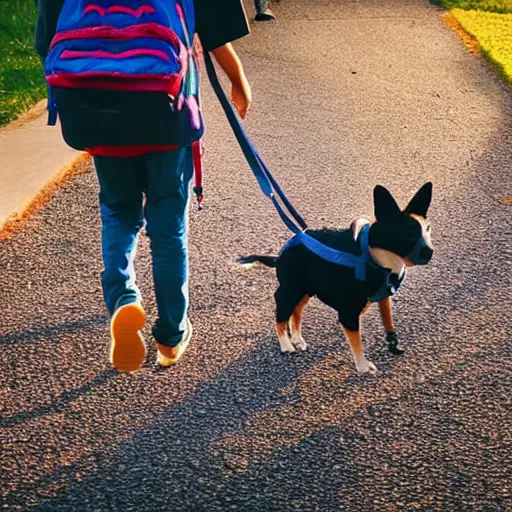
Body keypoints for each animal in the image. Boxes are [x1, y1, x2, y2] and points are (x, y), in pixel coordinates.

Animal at [238, 183, 434, 372]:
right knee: (281, 316)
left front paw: (392, 342)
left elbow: (387, 318)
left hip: (305, 289)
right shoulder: (348, 313)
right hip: (290, 290)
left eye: (427, 230)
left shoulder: (382, 297)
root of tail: (280, 255)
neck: (373, 256)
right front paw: (363, 366)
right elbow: (357, 342)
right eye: (408, 235)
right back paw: (286, 344)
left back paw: (297, 338)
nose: (430, 252)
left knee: (296, 311)